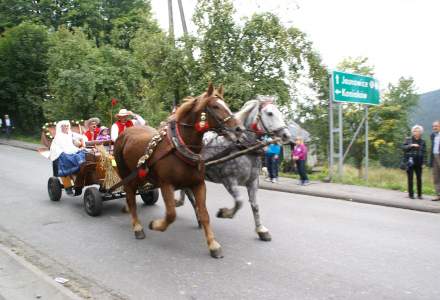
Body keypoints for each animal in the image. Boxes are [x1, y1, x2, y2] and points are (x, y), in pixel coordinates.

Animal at [112, 84, 244, 258]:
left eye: (226, 105)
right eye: (215, 106)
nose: (239, 129)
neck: (180, 147)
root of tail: (125, 134)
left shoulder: (198, 184)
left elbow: (204, 214)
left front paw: (213, 244)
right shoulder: (166, 185)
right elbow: (171, 214)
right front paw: (155, 224)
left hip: (140, 176)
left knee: (132, 195)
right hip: (126, 175)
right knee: (130, 198)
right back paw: (137, 227)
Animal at [177, 98, 290, 241]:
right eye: (270, 113)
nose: (286, 135)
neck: (242, 147)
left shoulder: (253, 181)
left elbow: (255, 205)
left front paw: (261, 230)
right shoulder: (229, 180)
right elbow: (239, 202)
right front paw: (225, 213)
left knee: (186, 190)